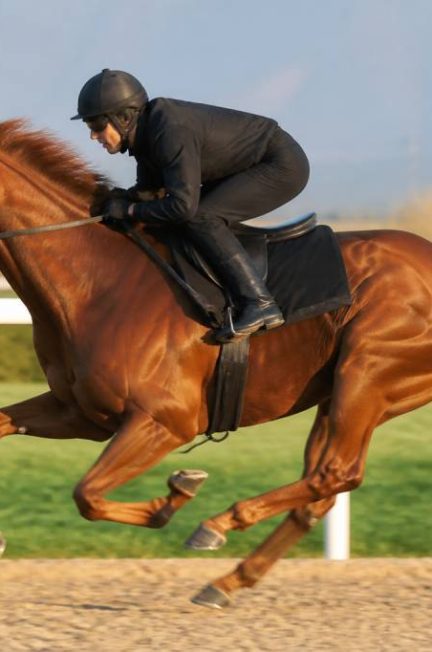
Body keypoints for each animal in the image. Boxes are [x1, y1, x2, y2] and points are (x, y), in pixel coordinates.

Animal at [1, 118, 432, 609]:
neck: (97, 281)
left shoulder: (163, 421)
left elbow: (87, 494)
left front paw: (176, 494)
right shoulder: (79, 412)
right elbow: (16, 431)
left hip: (368, 374)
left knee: (334, 473)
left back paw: (218, 525)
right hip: (351, 393)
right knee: (321, 488)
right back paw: (228, 580)